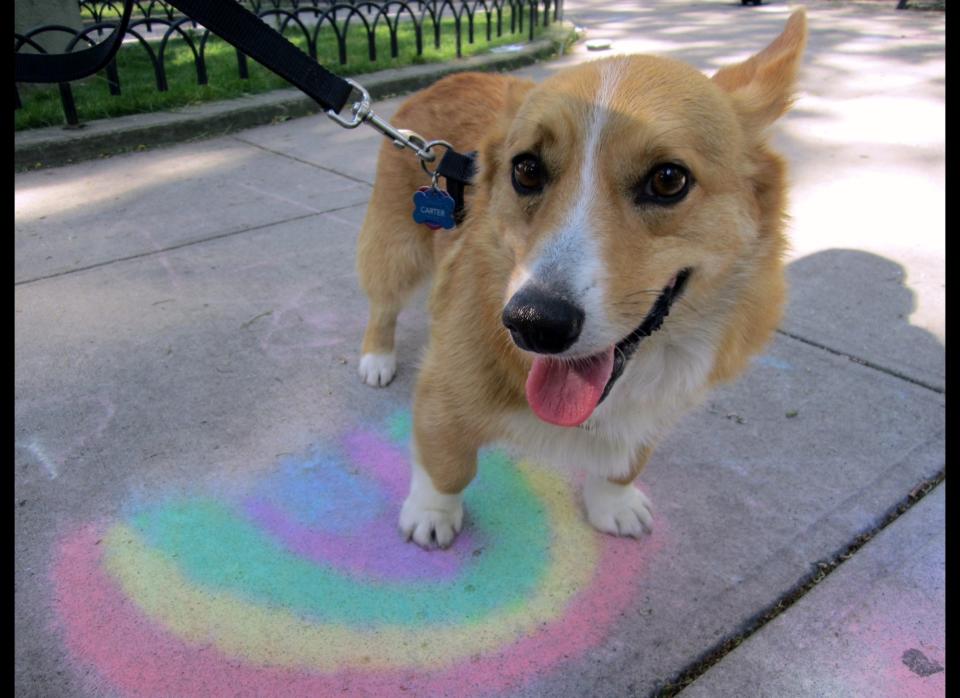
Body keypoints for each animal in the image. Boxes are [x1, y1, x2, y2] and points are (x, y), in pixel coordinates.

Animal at [356, 9, 808, 544]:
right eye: (527, 170)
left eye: (669, 179)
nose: (534, 323)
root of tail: (448, 77)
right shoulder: (443, 392)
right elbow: (447, 465)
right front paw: (431, 514)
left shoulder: (652, 415)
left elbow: (625, 464)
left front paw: (615, 503)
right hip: (397, 249)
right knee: (383, 304)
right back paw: (377, 358)